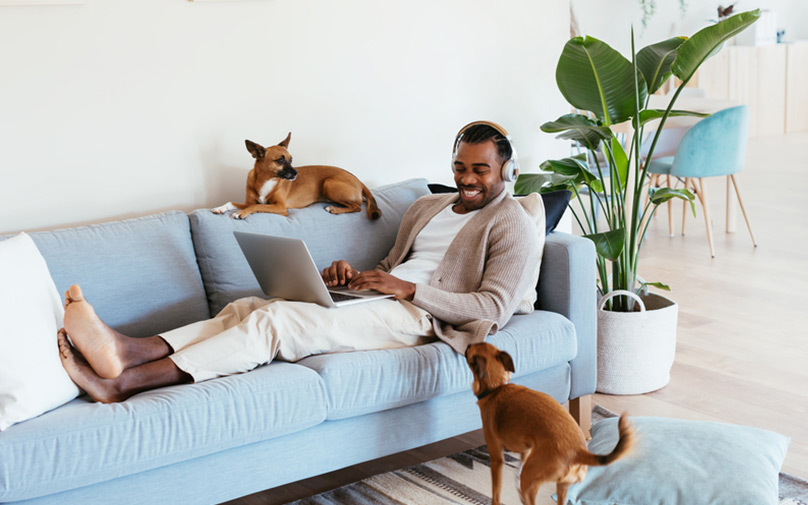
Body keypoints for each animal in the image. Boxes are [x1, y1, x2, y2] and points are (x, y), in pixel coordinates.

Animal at [213, 133, 380, 220]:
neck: (266, 180)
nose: (296, 173)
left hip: (329, 183)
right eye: (280, 160)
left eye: (291, 159)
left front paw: (240, 213)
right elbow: (233, 202)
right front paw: (221, 208)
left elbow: (256, 206)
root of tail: (358, 180)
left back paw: (334, 209)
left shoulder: (280, 207)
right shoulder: (248, 201)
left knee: (357, 207)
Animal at [464, 342, 636, 504]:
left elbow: (496, 493)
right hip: (562, 487)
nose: (467, 344)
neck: (495, 388)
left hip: (530, 479)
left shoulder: (497, 459)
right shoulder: (525, 450)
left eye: (470, 349)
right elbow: (518, 467)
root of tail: (578, 452)